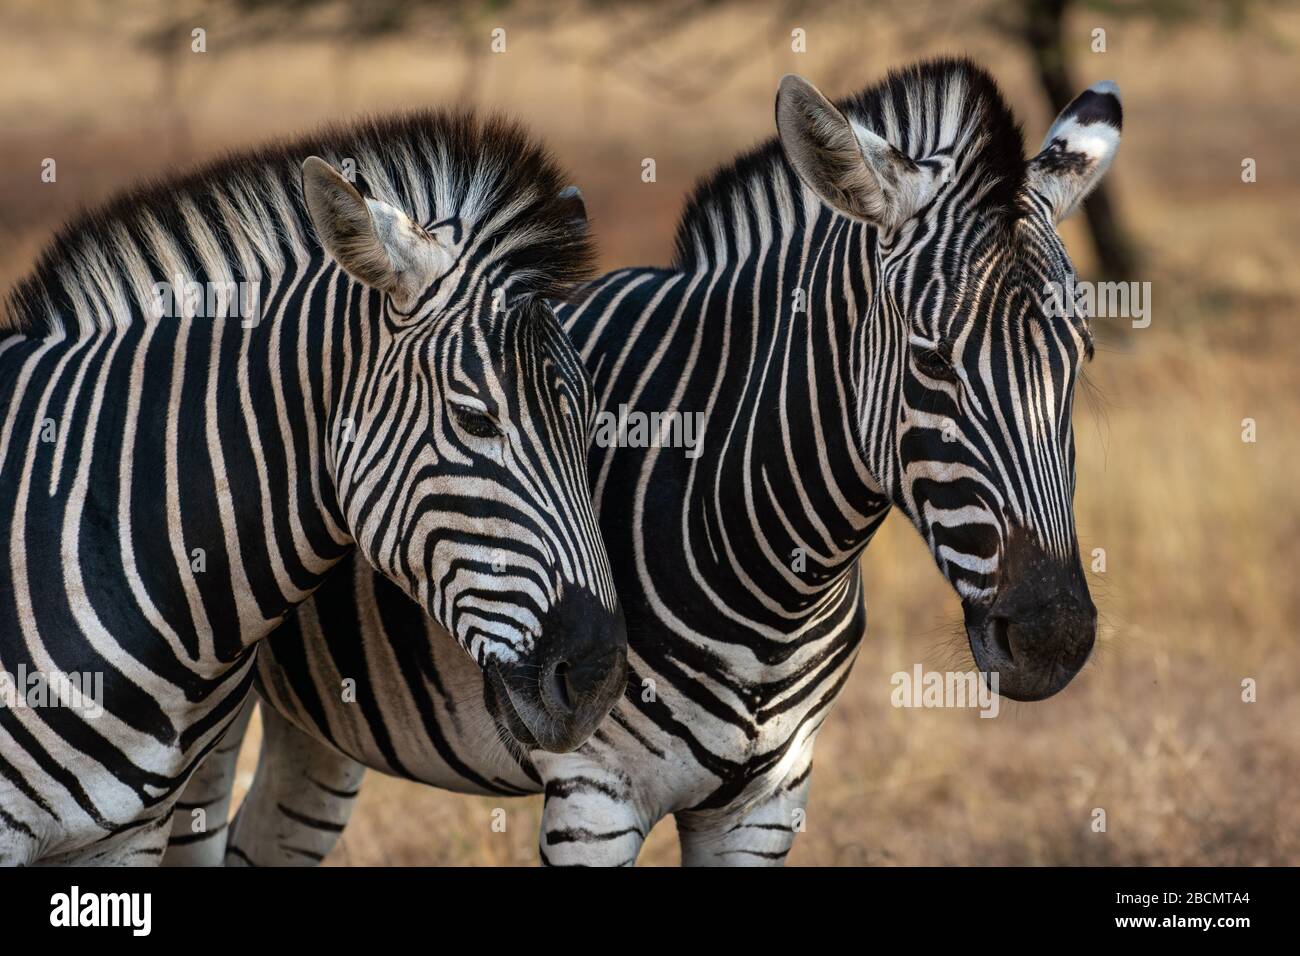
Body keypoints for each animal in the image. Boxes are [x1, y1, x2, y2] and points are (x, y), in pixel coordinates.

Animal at [170, 58, 1120, 866]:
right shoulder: (596, 795)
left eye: (1082, 356)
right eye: (931, 360)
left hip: (319, 721)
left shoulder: (766, 803)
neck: (768, 562)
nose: (1053, 638)